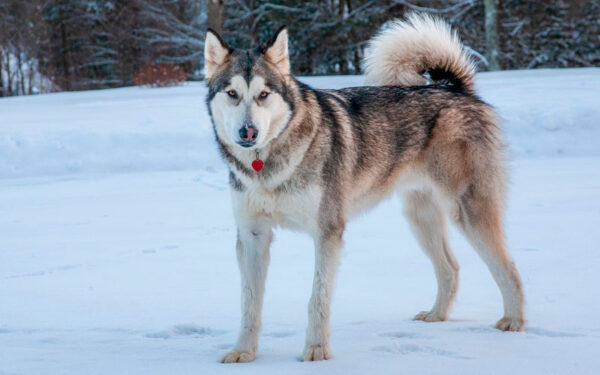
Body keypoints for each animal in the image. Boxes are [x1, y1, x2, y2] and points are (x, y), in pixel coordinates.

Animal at [205, 13, 524, 362]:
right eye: (232, 93)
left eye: (264, 94)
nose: (247, 132)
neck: (267, 165)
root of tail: (455, 89)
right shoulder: (252, 236)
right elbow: (250, 303)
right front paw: (243, 352)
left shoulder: (328, 232)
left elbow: (317, 299)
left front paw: (316, 349)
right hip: (420, 217)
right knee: (450, 268)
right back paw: (436, 316)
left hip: (468, 211)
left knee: (509, 268)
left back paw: (513, 322)